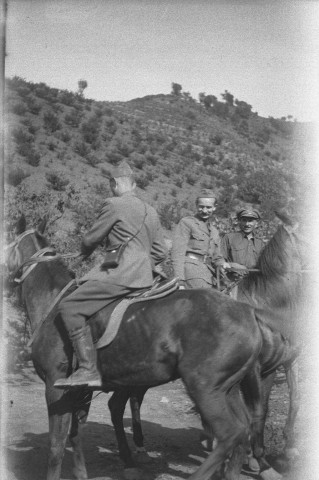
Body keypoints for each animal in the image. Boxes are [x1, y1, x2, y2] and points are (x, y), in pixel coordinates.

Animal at [6, 216, 302, 480]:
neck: (53, 302)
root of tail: (248, 312)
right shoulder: (79, 392)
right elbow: (75, 436)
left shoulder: (54, 387)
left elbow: (56, 445)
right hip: (225, 388)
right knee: (241, 429)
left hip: (206, 389)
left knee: (232, 432)